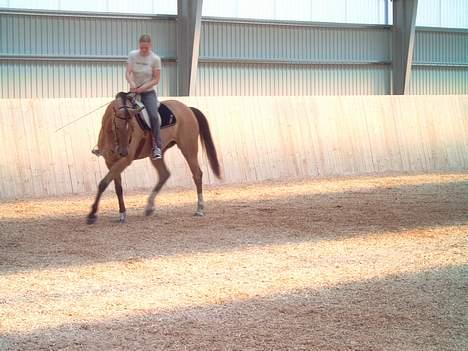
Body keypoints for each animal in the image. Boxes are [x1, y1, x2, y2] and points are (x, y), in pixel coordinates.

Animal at [86, 93, 221, 226]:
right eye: (117, 127)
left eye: (132, 128)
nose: (123, 152)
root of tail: (188, 108)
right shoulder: (110, 161)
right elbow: (117, 188)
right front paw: (122, 214)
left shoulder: (124, 161)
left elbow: (103, 183)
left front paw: (92, 215)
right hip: (157, 154)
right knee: (164, 174)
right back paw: (149, 207)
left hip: (188, 149)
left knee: (197, 174)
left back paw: (200, 209)